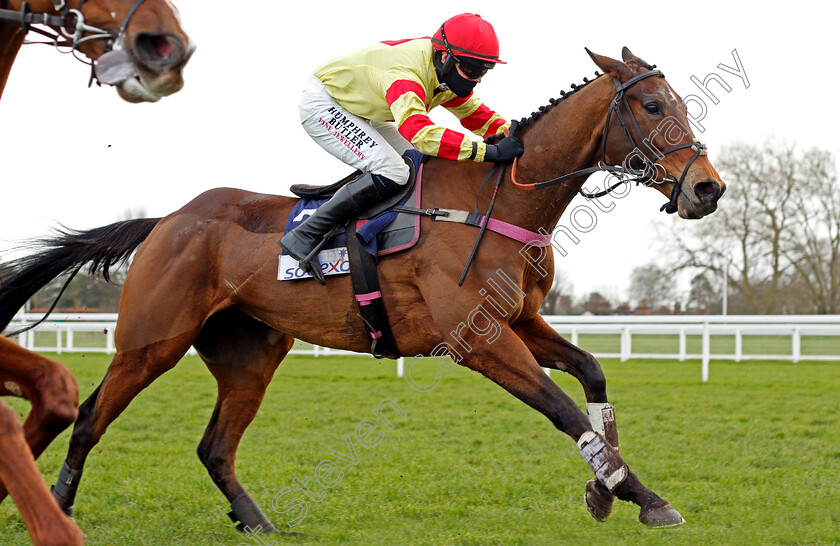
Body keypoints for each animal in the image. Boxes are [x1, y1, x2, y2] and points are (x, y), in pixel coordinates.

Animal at [0, 47, 720, 532]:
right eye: (653, 105)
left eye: (683, 104)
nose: (707, 188)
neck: (498, 201)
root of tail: (168, 220)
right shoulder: (479, 339)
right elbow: (563, 409)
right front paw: (639, 495)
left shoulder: (519, 323)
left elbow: (593, 374)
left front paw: (608, 489)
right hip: (152, 341)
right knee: (90, 417)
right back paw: (59, 508)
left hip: (249, 354)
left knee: (214, 446)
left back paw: (257, 521)